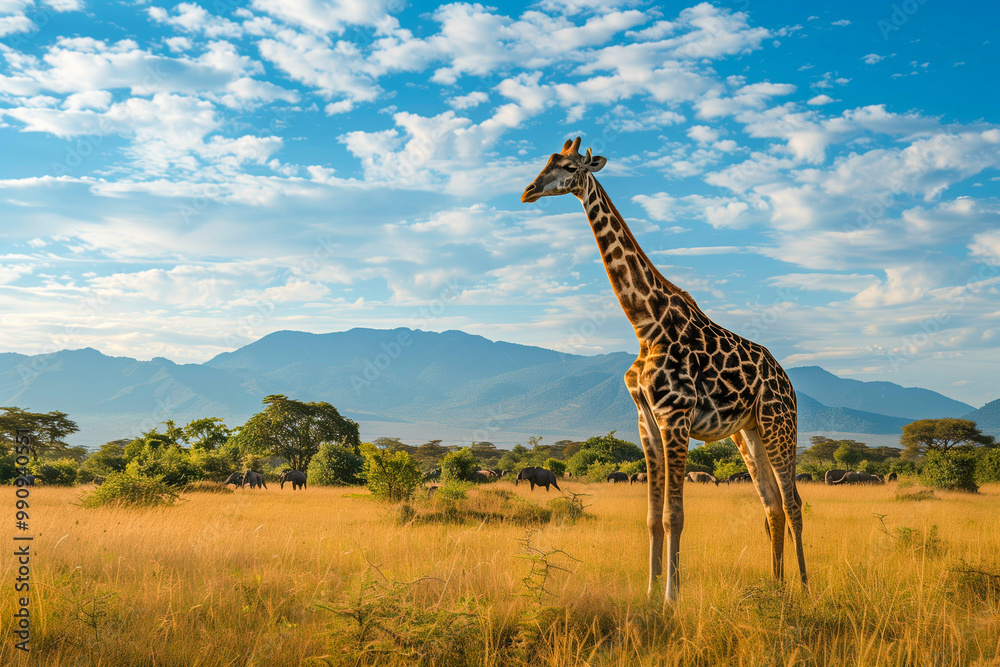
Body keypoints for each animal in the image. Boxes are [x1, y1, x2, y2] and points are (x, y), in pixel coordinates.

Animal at [521, 137, 807, 605]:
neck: (645, 323)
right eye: (545, 161)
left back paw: (803, 586)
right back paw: (776, 587)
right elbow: (653, 518)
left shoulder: (676, 415)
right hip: (748, 432)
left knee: (793, 502)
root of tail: (788, 381)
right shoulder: (646, 420)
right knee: (771, 506)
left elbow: (675, 515)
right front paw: (651, 593)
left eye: (568, 166)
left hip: (779, 425)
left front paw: (672, 598)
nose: (528, 192)